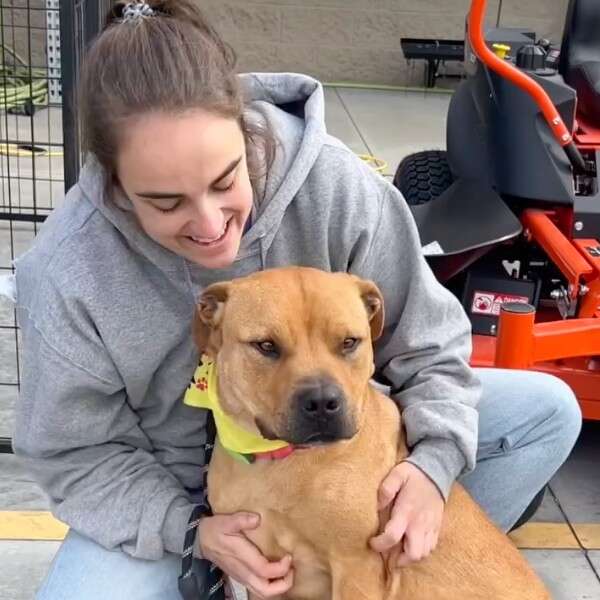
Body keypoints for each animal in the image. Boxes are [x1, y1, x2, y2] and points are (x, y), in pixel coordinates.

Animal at [195, 268, 552, 600]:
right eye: (266, 346)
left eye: (349, 342)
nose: (323, 402)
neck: (280, 462)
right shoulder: (264, 572)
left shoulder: (355, 566)